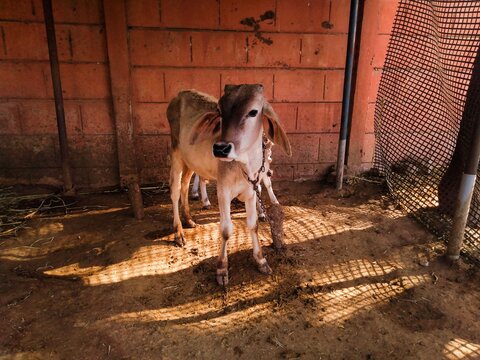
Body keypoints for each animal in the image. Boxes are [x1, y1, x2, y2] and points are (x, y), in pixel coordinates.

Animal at [167, 83, 290, 284]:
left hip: (190, 161)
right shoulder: (223, 190)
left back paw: (189, 219)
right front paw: (222, 268)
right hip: (176, 152)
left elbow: (253, 224)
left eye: (253, 112)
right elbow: (225, 229)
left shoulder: (251, 190)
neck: (244, 165)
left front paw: (261, 260)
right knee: (175, 190)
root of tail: (179, 94)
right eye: (220, 111)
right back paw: (178, 232)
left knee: (185, 185)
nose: (220, 148)